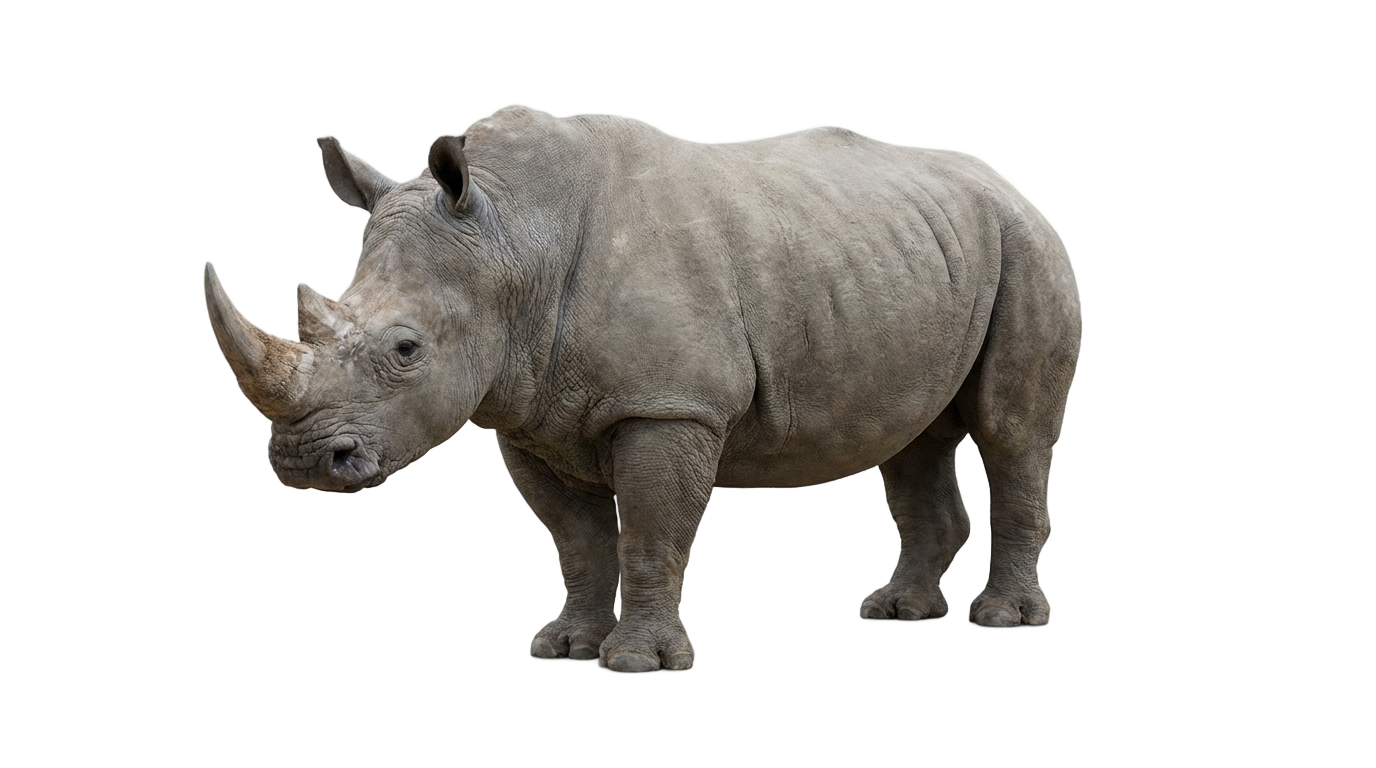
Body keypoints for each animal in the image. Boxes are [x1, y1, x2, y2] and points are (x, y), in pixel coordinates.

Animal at [203, 107, 1080, 672]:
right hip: (915, 258)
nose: (305, 463)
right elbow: (577, 544)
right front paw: (565, 649)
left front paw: (639, 665)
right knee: (910, 439)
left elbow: (650, 532)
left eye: (406, 349)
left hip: (1025, 244)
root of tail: (1005, 185)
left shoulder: (669, 406)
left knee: (1010, 429)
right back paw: (898, 612)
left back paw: (1003, 621)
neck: (511, 236)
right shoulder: (528, 416)